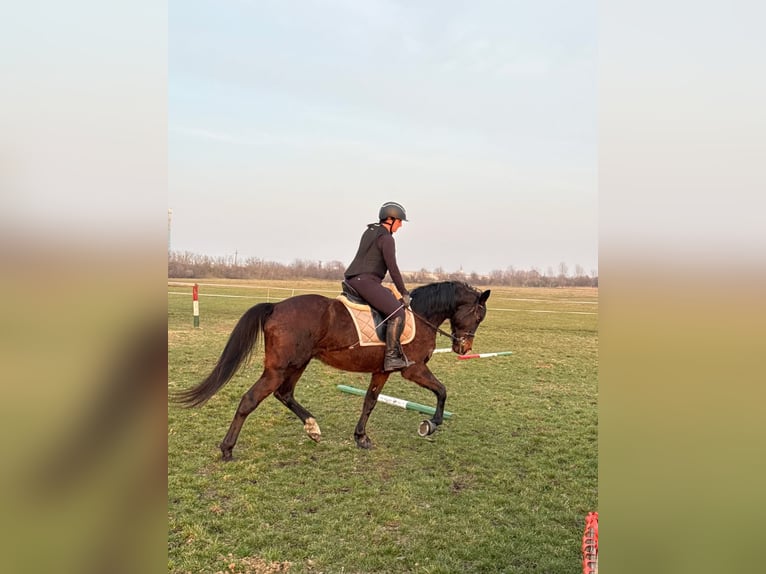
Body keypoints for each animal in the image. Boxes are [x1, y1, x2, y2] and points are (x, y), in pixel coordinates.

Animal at [172, 281, 491, 461]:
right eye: (478, 315)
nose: (463, 348)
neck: (422, 315)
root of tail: (275, 307)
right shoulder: (413, 369)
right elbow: (442, 390)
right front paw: (431, 424)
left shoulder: (382, 371)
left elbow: (369, 401)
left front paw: (361, 437)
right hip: (279, 368)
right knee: (251, 399)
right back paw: (227, 449)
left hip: (298, 364)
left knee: (284, 394)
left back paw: (312, 428)